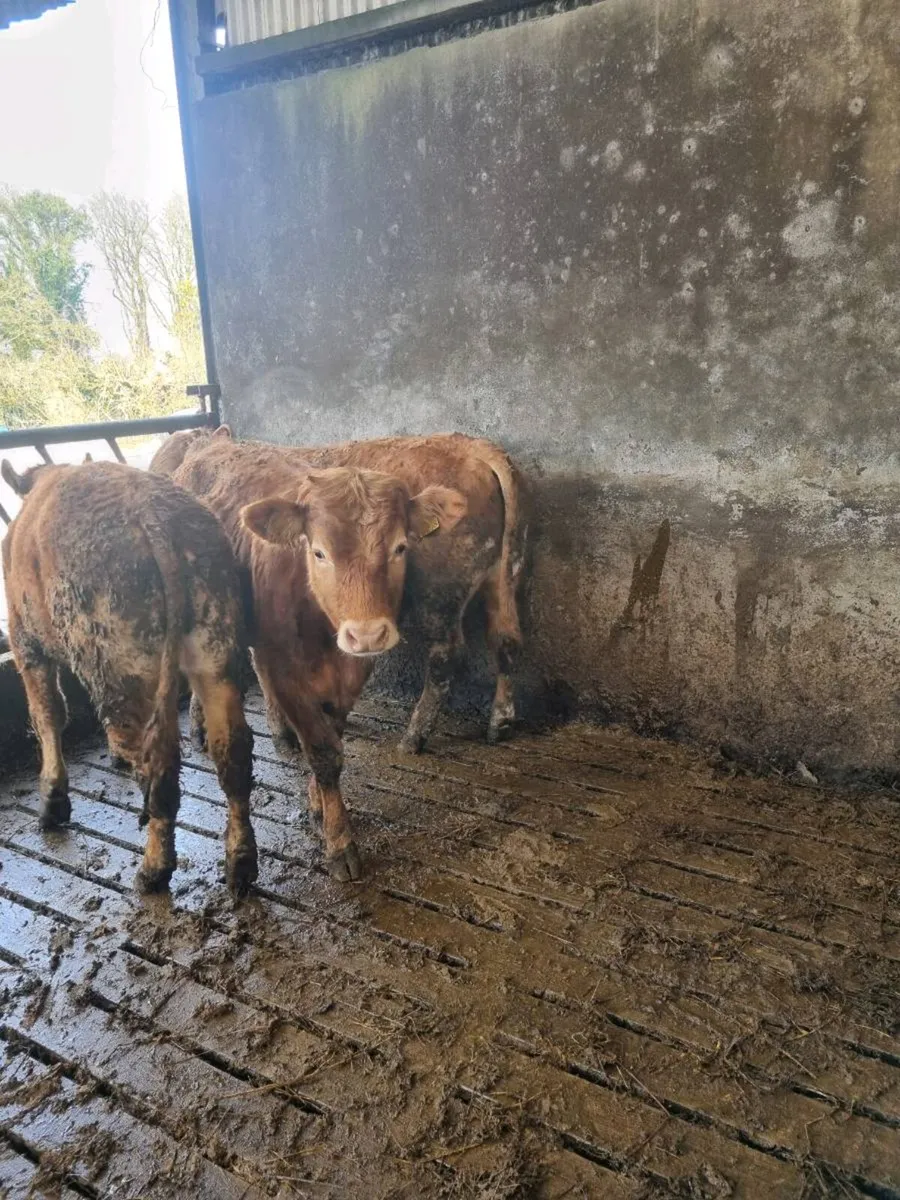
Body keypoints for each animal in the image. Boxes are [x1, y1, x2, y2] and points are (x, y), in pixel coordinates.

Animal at [1, 459, 258, 895]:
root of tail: (155, 515)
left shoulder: (26, 642)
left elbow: (48, 715)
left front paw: (52, 801)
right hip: (215, 649)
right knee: (233, 755)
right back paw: (240, 862)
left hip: (126, 671)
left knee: (159, 771)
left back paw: (154, 868)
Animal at [153, 426, 526, 754]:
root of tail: (472, 445)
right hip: (500, 578)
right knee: (505, 640)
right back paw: (501, 722)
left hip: (439, 599)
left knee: (445, 659)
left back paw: (415, 736)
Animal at [166, 439, 469, 880]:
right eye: (319, 552)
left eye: (400, 547)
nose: (367, 633)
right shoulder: (285, 670)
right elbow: (324, 751)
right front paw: (340, 842)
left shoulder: (352, 671)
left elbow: (332, 739)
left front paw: (318, 803)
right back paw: (203, 728)